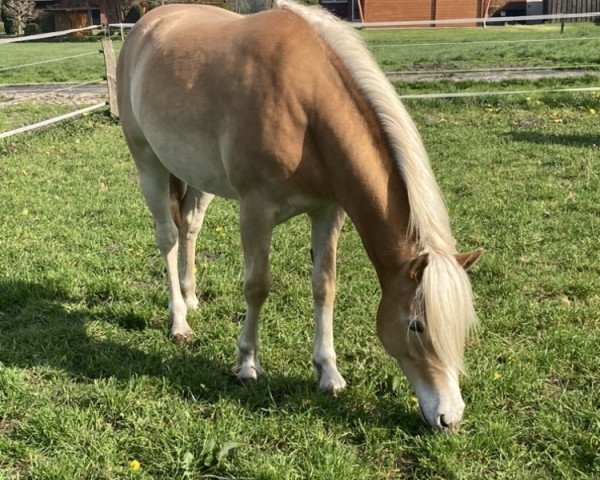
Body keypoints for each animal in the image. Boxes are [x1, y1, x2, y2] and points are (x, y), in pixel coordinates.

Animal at [117, 0, 482, 432]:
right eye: (416, 325)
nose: (450, 417)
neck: (306, 106)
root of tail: (148, 23)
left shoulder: (328, 211)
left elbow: (324, 286)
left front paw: (328, 372)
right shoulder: (255, 211)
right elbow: (257, 287)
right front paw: (247, 364)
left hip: (197, 176)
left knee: (190, 228)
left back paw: (191, 300)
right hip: (149, 164)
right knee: (168, 238)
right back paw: (179, 322)